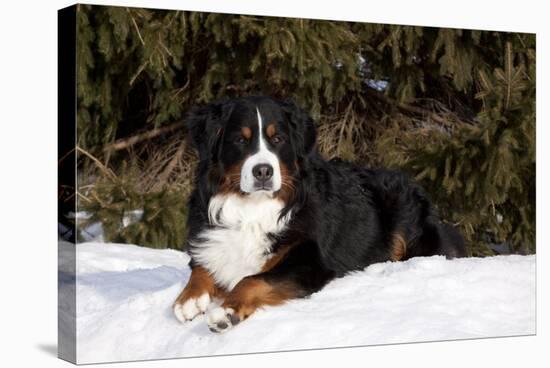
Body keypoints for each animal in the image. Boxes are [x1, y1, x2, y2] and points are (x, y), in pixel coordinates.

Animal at [175, 96, 468, 332]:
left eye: (278, 139)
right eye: (240, 140)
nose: (263, 171)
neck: (251, 209)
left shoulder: (309, 261)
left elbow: (253, 280)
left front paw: (226, 311)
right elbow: (200, 268)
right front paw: (189, 298)